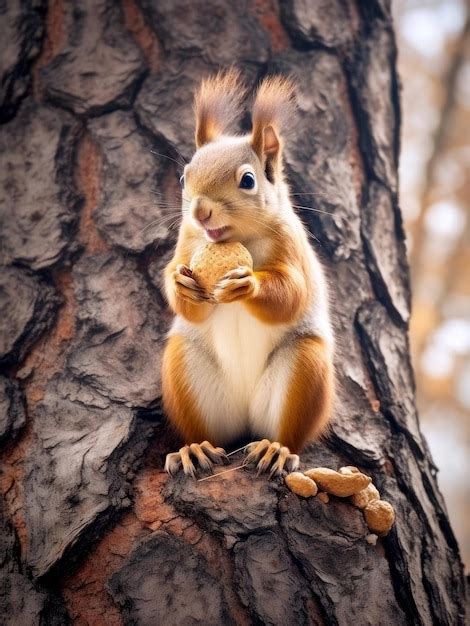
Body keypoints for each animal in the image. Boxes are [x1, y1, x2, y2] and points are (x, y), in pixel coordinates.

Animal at [162, 68, 334, 476]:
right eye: (184, 178)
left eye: (248, 180)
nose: (200, 211)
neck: (237, 238)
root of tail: (243, 420)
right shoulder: (187, 242)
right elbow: (183, 293)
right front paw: (180, 283)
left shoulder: (291, 245)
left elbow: (292, 293)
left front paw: (248, 285)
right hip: (185, 367)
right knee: (206, 430)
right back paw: (195, 449)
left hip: (304, 366)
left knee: (285, 432)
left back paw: (276, 450)